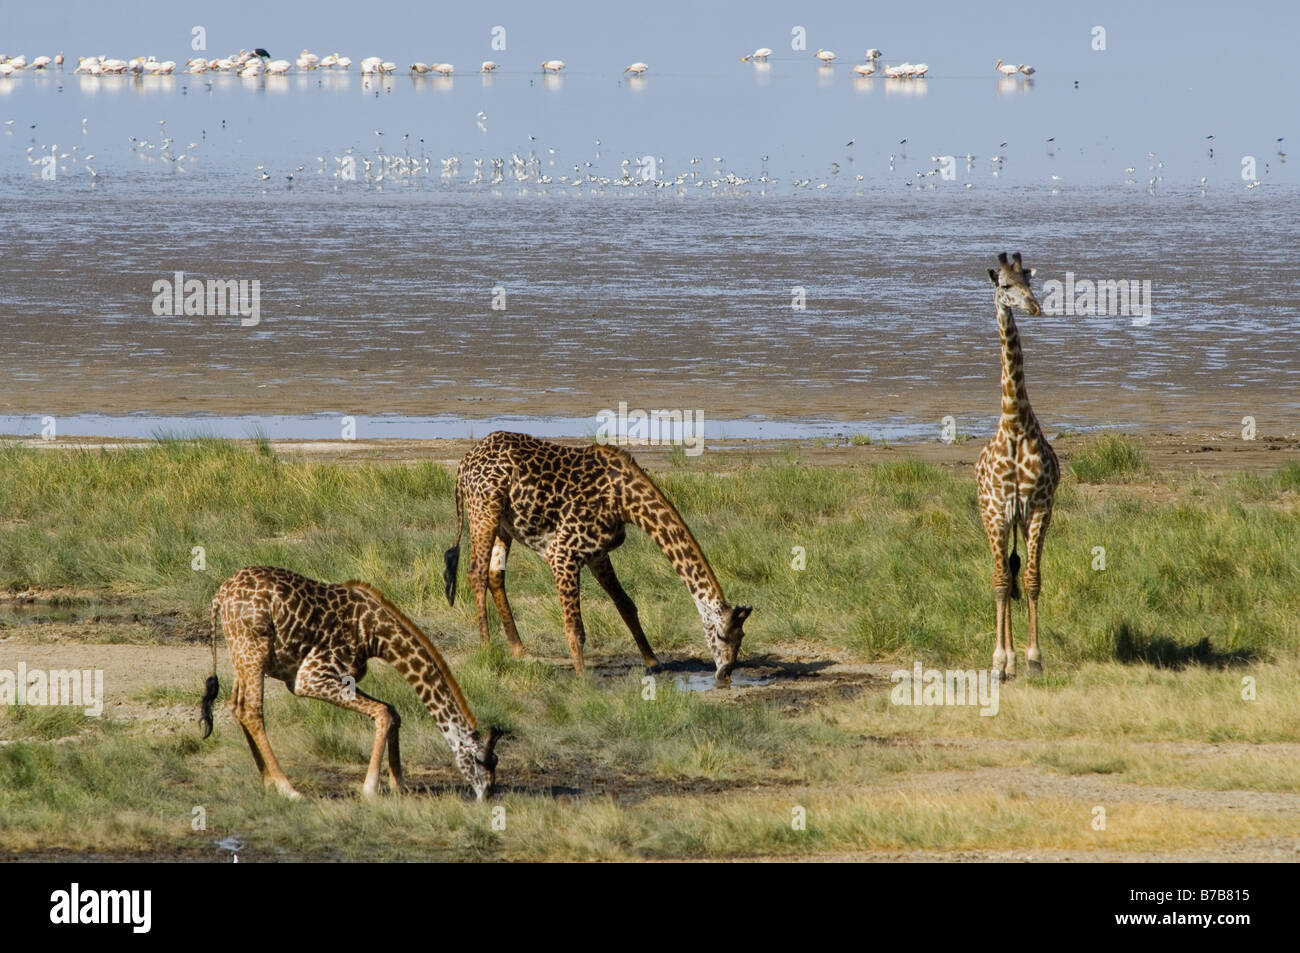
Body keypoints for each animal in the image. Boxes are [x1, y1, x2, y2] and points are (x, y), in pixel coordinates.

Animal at [201, 569, 501, 800]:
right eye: (481, 760)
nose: (486, 795)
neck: (376, 634)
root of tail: (219, 596)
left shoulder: (337, 677)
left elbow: (392, 710)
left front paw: (399, 785)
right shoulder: (308, 678)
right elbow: (383, 712)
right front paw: (370, 789)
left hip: (242, 653)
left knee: (237, 706)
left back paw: (267, 781)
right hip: (253, 649)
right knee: (252, 710)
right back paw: (288, 789)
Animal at [444, 426, 754, 681]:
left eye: (742, 636)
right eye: (721, 635)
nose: (725, 673)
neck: (625, 502)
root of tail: (463, 464)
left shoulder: (596, 555)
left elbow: (626, 605)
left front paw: (653, 662)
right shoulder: (563, 554)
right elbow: (575, 627)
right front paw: (583, 678)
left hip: (503, 525)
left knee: (495, 574)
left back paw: (519, 649)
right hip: (484, 510)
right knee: (476, 572)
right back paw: (487, 648)